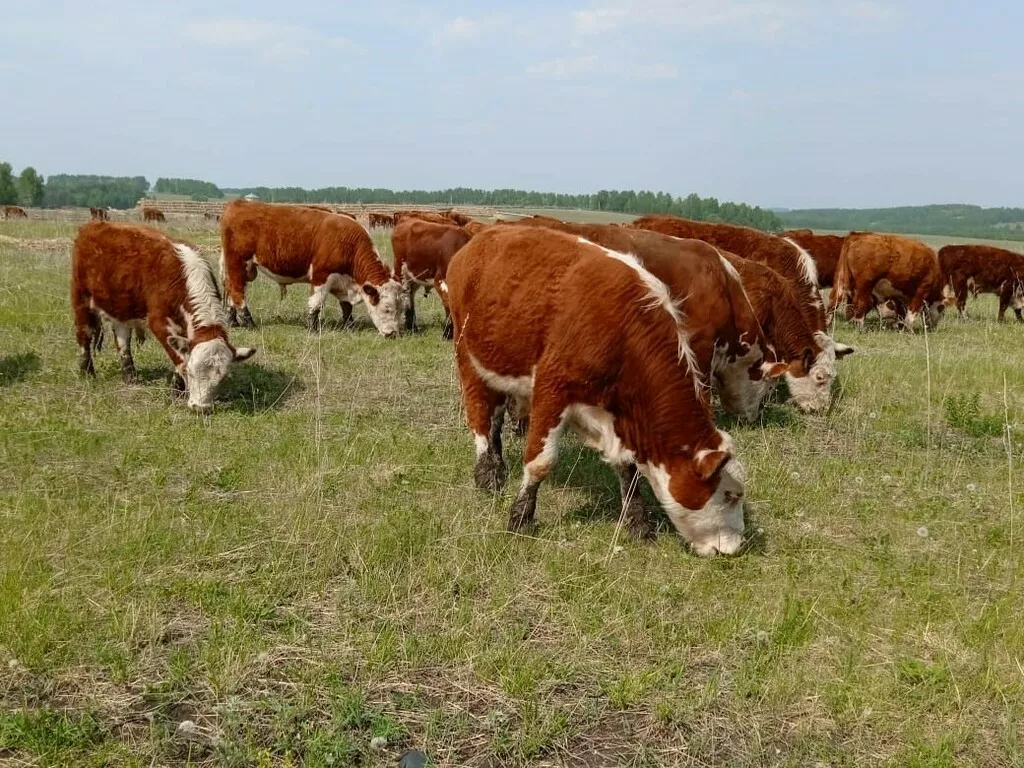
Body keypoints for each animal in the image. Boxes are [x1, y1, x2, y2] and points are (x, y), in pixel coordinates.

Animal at [71, 222, 253, 415]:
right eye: (191, 372)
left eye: (223, 378)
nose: (201, 408)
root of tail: (93, 225)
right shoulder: (159, 323)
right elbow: (179, 358)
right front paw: (177, 392)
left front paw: (176, 389)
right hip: (81, 299)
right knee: (84, 336)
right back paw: (87, 372)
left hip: (121, 309)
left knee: (122, 339)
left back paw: (130, 376)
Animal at [220, 198, 403, 335]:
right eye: (387, 308)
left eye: (399, 308)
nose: (393, 334)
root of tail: (238, 203)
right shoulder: (321, 276)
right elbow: (315, 304)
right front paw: (312, 329)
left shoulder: (342, 282)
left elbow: (346, 307)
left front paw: (349, 327)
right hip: (238, 263)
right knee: (237, 292)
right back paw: (249, 323)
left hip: (238, 268)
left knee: (231, 292)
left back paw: (233, 322)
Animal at [446, 225, 745, 557]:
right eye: (731, 495)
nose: (738, 545)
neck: (625, 334)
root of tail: (485, 235)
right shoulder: (552, 389)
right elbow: (540, 462)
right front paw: (520, 518)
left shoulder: (618, 416)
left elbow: (629, 471)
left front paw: (639, 524)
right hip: (467, 356)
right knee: (480, 417)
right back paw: (486, 473)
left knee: (496, 416)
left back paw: (498, 465)